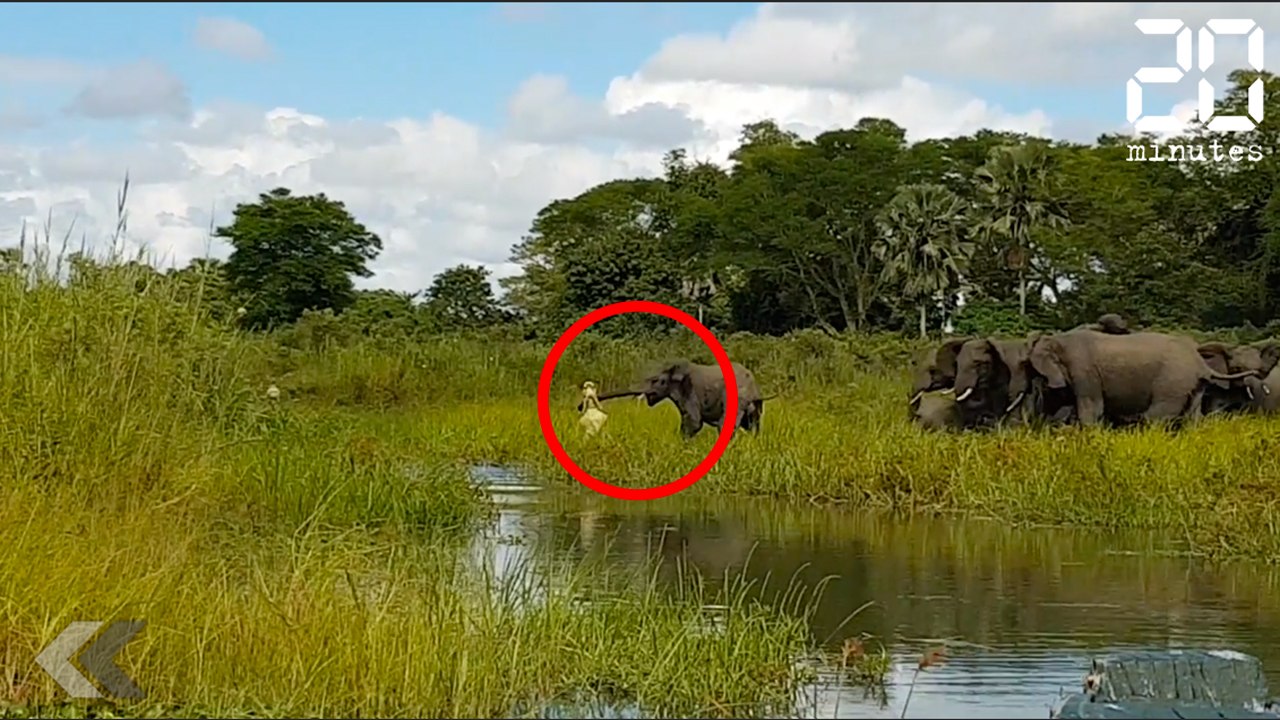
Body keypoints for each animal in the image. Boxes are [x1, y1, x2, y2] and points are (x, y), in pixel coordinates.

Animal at [587, 359, 765, 439]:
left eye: (656, 381)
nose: (581, 406)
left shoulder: (690, 392)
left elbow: (694, 422)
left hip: (737, 398)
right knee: (752, 424)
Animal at [1025, 328, 1263, 427]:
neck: (1057, 339)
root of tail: (1199, 362)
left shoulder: (1083, 370)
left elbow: (1091, 409)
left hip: (1172, 380)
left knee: (1157, 415)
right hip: (1192, 384)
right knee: (1191, 416)